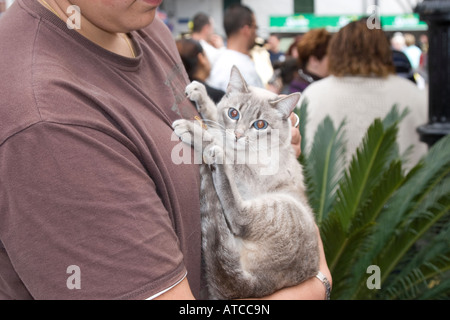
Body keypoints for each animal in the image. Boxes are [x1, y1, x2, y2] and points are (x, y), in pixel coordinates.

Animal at [173, 66, 320, 298]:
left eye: (260, 125)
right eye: (233, 113)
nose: (238, 135)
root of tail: (257, 284)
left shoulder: (250, 173)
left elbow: (218, 142)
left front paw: (192, 130)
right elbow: (215, 119)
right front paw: (200, 93)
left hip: (280, 208)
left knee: (239, 217)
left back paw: (215, 157)